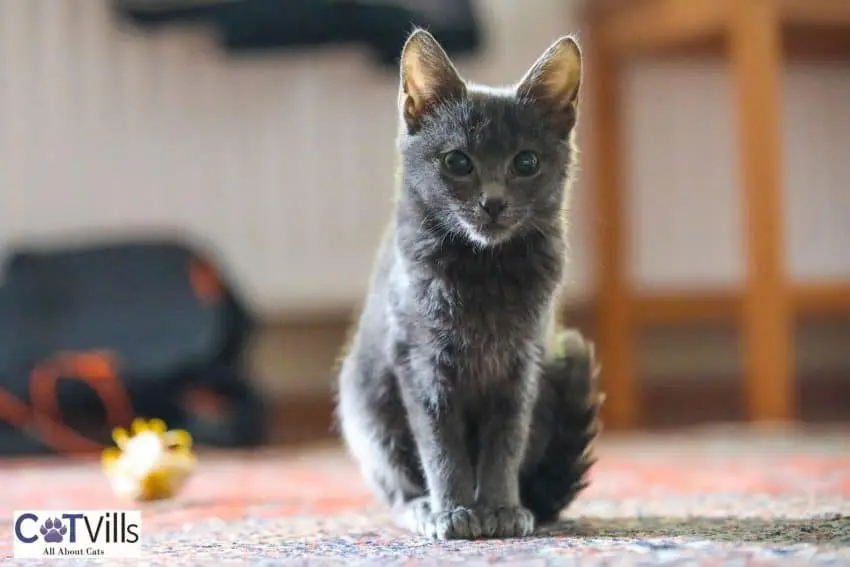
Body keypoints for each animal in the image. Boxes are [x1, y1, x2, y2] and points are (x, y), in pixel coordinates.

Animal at [334, 30, 600, 540]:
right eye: (458, 161)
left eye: (526, 162)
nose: (492, 202)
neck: (485, 271)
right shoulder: (421, 361)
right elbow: (441, 445)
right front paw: (453, 511)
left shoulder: (521, 364)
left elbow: (504, 443)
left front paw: (500, 508)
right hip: (365, 405)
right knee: (396, 485)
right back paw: (420, 507)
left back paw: (527, 503)